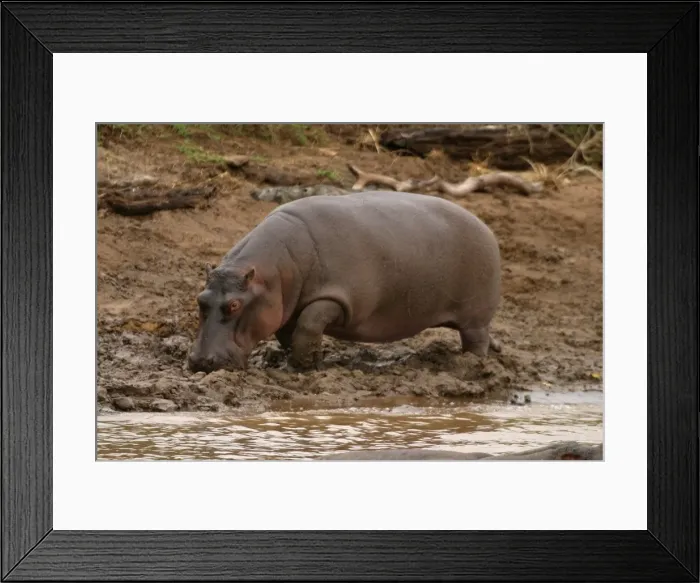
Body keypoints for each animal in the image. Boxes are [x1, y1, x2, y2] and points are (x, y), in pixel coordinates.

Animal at [187, 190, 501, 373]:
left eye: (234, 305)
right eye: (200, 299)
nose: (200, 361)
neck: (274, 271)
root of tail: (484, 224)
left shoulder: (337, 297)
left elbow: (310, 323)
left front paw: (303, 368)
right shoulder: (286, 304)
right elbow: (291, 333)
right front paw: (303, 363)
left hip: (475, 317)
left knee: (476, 341)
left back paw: (472, 365)